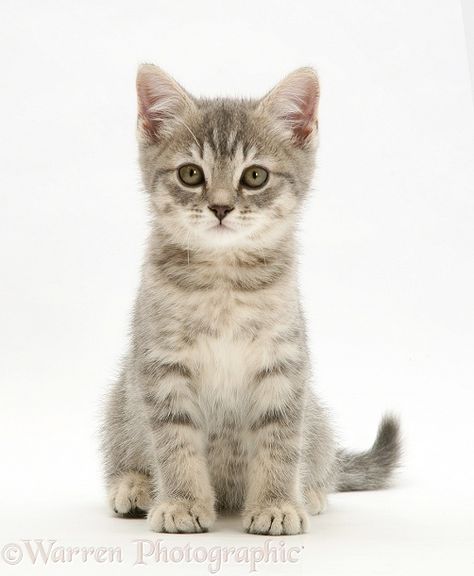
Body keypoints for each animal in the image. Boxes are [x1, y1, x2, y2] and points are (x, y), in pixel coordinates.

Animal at [101, 64, 400, 536]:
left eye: (255, 176)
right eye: (191, 174)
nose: (221, 207)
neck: (224, 283)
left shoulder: (283, 366)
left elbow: (279, 442)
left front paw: (276, 504)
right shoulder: (161, 368)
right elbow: (175, 443)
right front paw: (182, 502)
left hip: (316, 415)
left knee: (322, 460)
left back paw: (311, 491)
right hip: (121, 400)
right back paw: (134, 486)